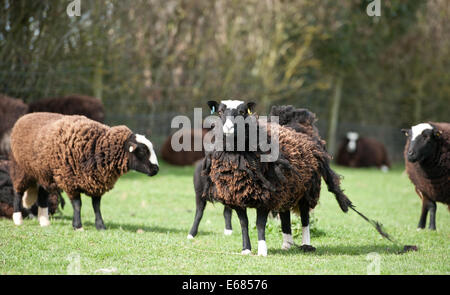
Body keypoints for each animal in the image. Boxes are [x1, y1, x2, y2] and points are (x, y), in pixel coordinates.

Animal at [8, 112, 160, 230]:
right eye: (142, 151)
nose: (156, 169)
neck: (97, 146)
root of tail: (24, 117)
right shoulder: (70, 181)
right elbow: (77, 205)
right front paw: (78, 226)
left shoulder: (97, 183)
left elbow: (96, 206)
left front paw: (101, 226)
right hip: (20, 169)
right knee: (18, 192)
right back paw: (18, 219)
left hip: (44, 173)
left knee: (42, 195)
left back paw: (44, 221)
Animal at [188, 100, 392, 256]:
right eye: (220, 112)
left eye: (242, 112)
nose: (229, 128)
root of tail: (296, 126)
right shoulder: (237, 196)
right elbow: (244, 223)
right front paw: (246, 249)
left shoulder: (265, 196)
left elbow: (260, 224)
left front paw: (262, 250)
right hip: (288, 189)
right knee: (285, 214)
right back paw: (287, 243)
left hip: (306, 190)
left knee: (305, 218)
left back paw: (305, 244)